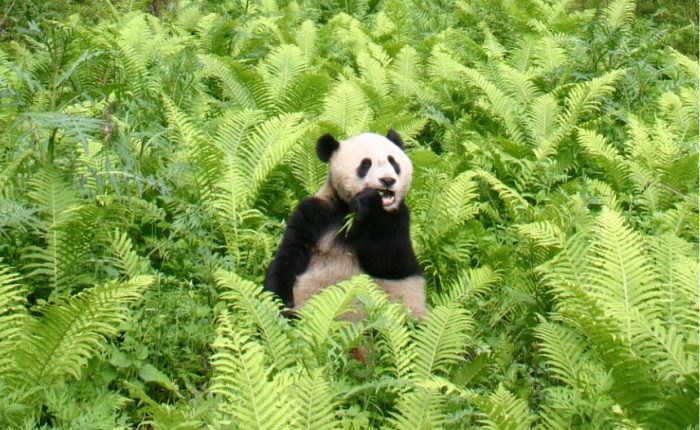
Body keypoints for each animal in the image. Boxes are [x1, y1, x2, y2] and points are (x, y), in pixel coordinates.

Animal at [263, 129, 426, 318]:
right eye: (365, 165)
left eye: (393, 162)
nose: (387, 180)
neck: (347, 207)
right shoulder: (314, 211)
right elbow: (289, 254)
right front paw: (279, 303)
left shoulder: (399, 215)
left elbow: (393, 262)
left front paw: (368, 202)